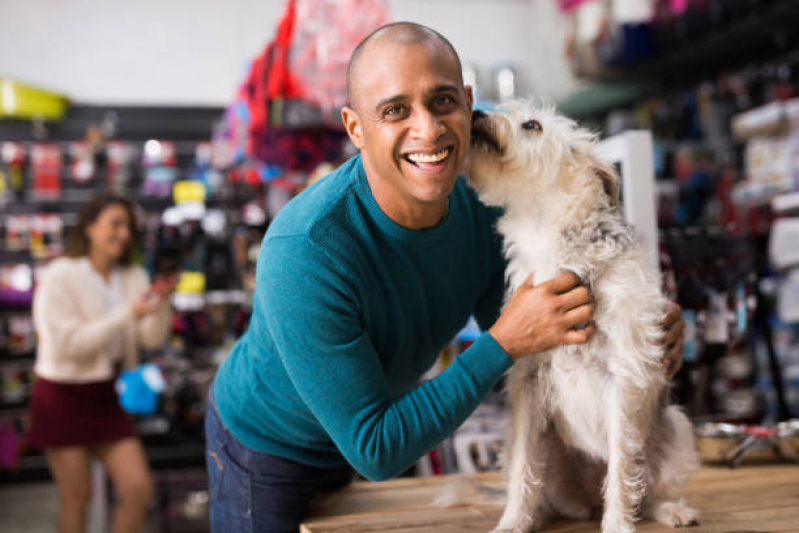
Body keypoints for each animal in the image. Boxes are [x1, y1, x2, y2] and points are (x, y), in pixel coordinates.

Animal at [468, 103, 700, 532]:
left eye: (532, 125)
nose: (475, 112)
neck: (547, 234)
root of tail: (587, 501)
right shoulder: (527, 382)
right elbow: (524, 467)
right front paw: (512, 521)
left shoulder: (623, 375)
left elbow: (622, 467)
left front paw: (618, 524)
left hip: (676, 427)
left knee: (647, 490)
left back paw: (670, 509)